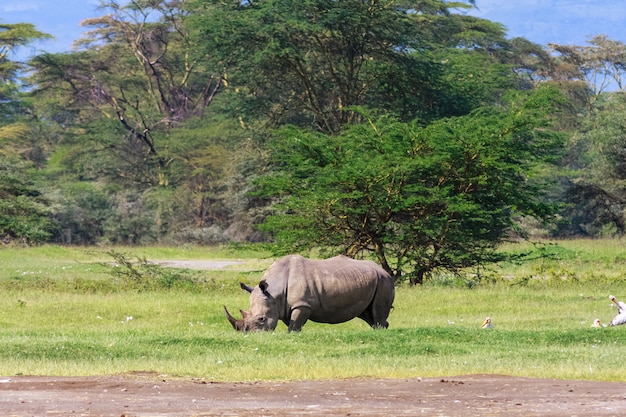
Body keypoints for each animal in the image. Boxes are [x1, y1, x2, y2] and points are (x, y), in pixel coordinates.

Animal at [222, 254, 392, 332]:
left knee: (377, 313)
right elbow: (293, 324)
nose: (250, 335)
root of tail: (383, 270)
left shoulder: (302, 304)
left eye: (262, 319)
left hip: (383, 281)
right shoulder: (285, 306)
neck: (274, 292)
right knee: (368, 314)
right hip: (372, 280)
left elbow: (294, 325)